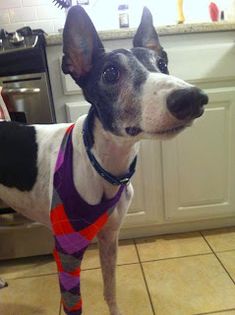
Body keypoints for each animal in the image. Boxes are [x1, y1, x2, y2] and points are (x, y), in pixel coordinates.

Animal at [0, 4, 207, 315]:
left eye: (163, 63)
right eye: (110, 73)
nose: (194, 98)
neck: (100, 165)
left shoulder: (110, 238)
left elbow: (111, 291)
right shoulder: (68, 251)